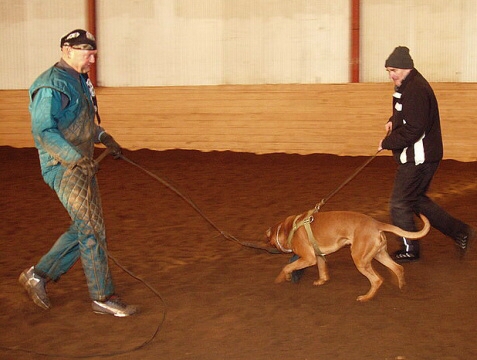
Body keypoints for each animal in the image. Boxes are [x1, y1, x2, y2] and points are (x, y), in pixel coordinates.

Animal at [266, 210, 430, 302]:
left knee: (377, 280)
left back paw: (366, 298)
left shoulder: (308, 258)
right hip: (379, 254)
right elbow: (322, 269)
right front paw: (321, 281)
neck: (289, 228)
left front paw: (281, 279)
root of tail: (376, 223)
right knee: (398, 268)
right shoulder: (317, 256)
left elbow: (287, 266)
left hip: (360, 259)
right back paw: (401, 287)